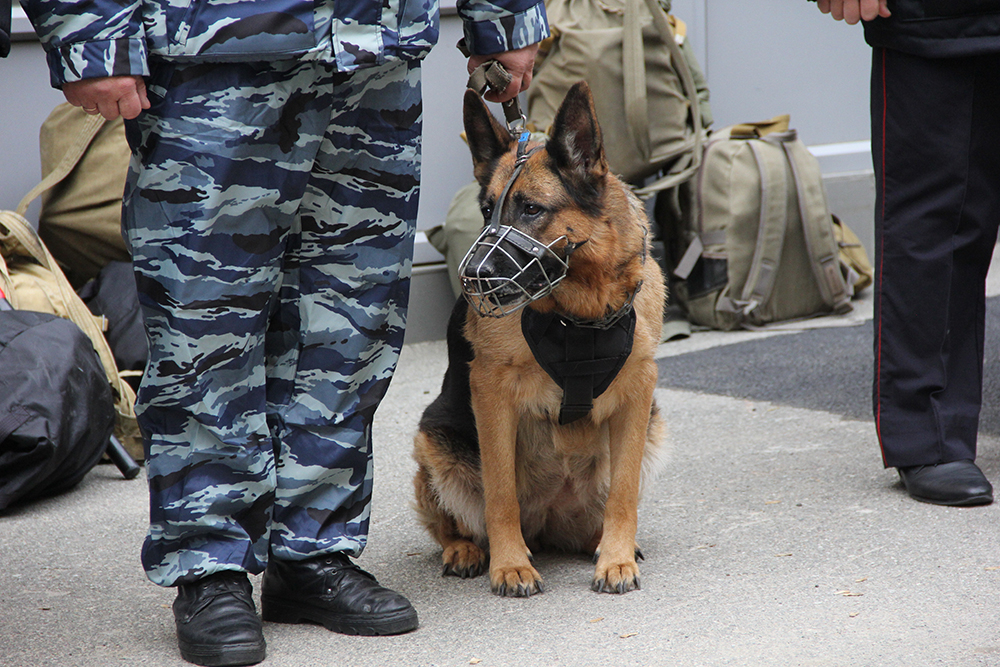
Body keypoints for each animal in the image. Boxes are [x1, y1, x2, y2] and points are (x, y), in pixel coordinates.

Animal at [410, 81, 668, 596]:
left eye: (531, 209)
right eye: (486, 211)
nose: (474, 276)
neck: (580, 316)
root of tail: (548, 522)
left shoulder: (638, 395)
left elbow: (623, 491)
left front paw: (616, 558)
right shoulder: (491, 394)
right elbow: (500, 493)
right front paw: (510, 565)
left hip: (651, 425)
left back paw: (600, 542)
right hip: (435, 441)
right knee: (454, 524)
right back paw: (467, 550)